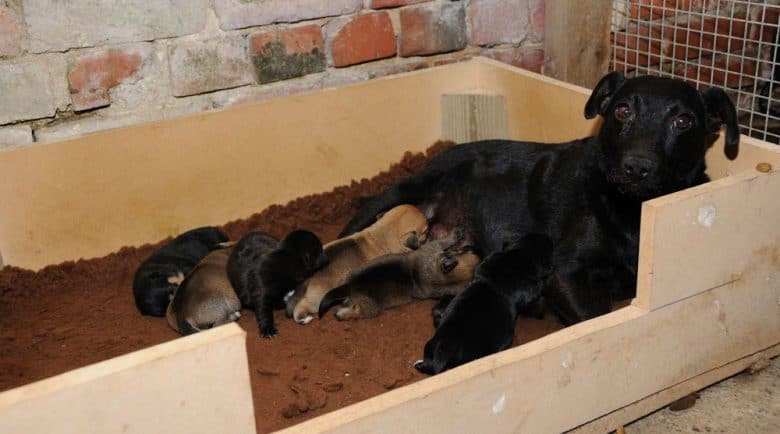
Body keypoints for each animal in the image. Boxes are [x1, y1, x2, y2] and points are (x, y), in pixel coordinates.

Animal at [284, 205, 426, 324]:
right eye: (425, 231)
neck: (383, 232)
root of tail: (310, 273)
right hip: (317, 297)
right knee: (302, 305)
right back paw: (302, 318)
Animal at [414, 232, 556, 374]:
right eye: (548, 247)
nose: (547, 236)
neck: (517, 256)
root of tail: (445, 348)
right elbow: (536, 289)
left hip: (431, 344)